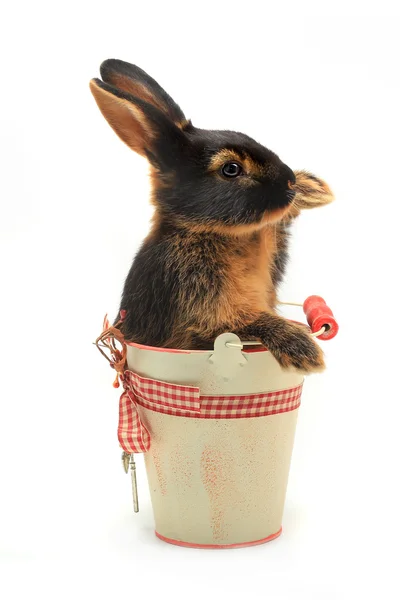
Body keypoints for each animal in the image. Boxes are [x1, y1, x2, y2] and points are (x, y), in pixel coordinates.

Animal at [89, 58, 332, 372]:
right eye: (231, 169)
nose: (289, 181)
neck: (211, 230)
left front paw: (314, 189)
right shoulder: (200, 312)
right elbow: (246, 322)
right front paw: (303, 348)